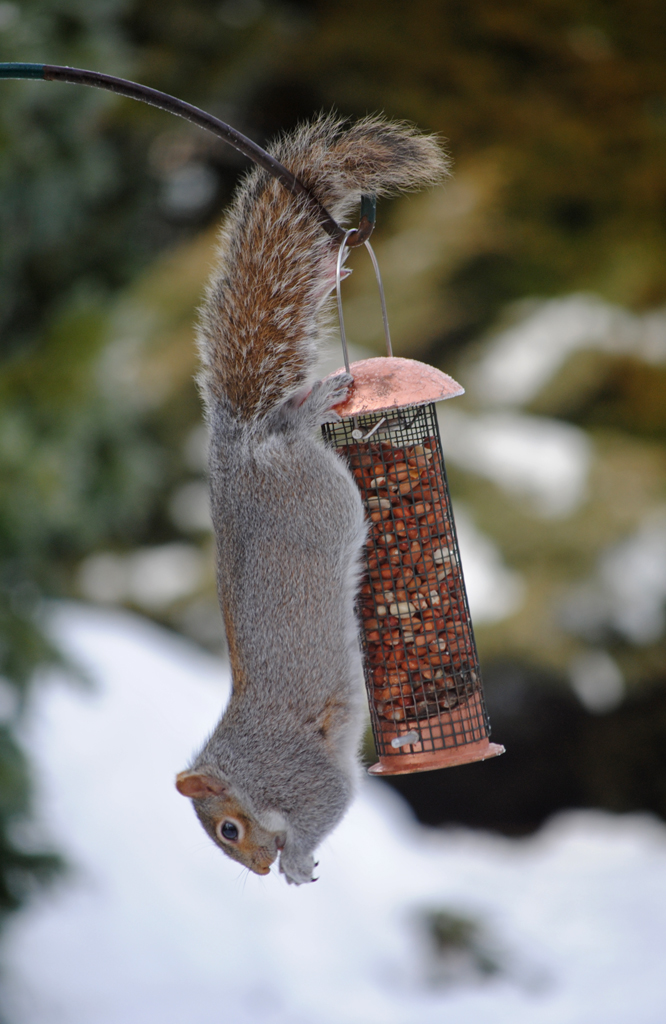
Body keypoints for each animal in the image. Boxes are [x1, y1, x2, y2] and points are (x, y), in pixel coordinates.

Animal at [175, 114, 448, 884]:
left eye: (229, 829)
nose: (260, 873)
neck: (252, 774)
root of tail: (239, 451)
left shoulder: (303, 771)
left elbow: (330, 800)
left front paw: (298, 859)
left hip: (316, 499)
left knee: (295, 431)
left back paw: (313, 405)